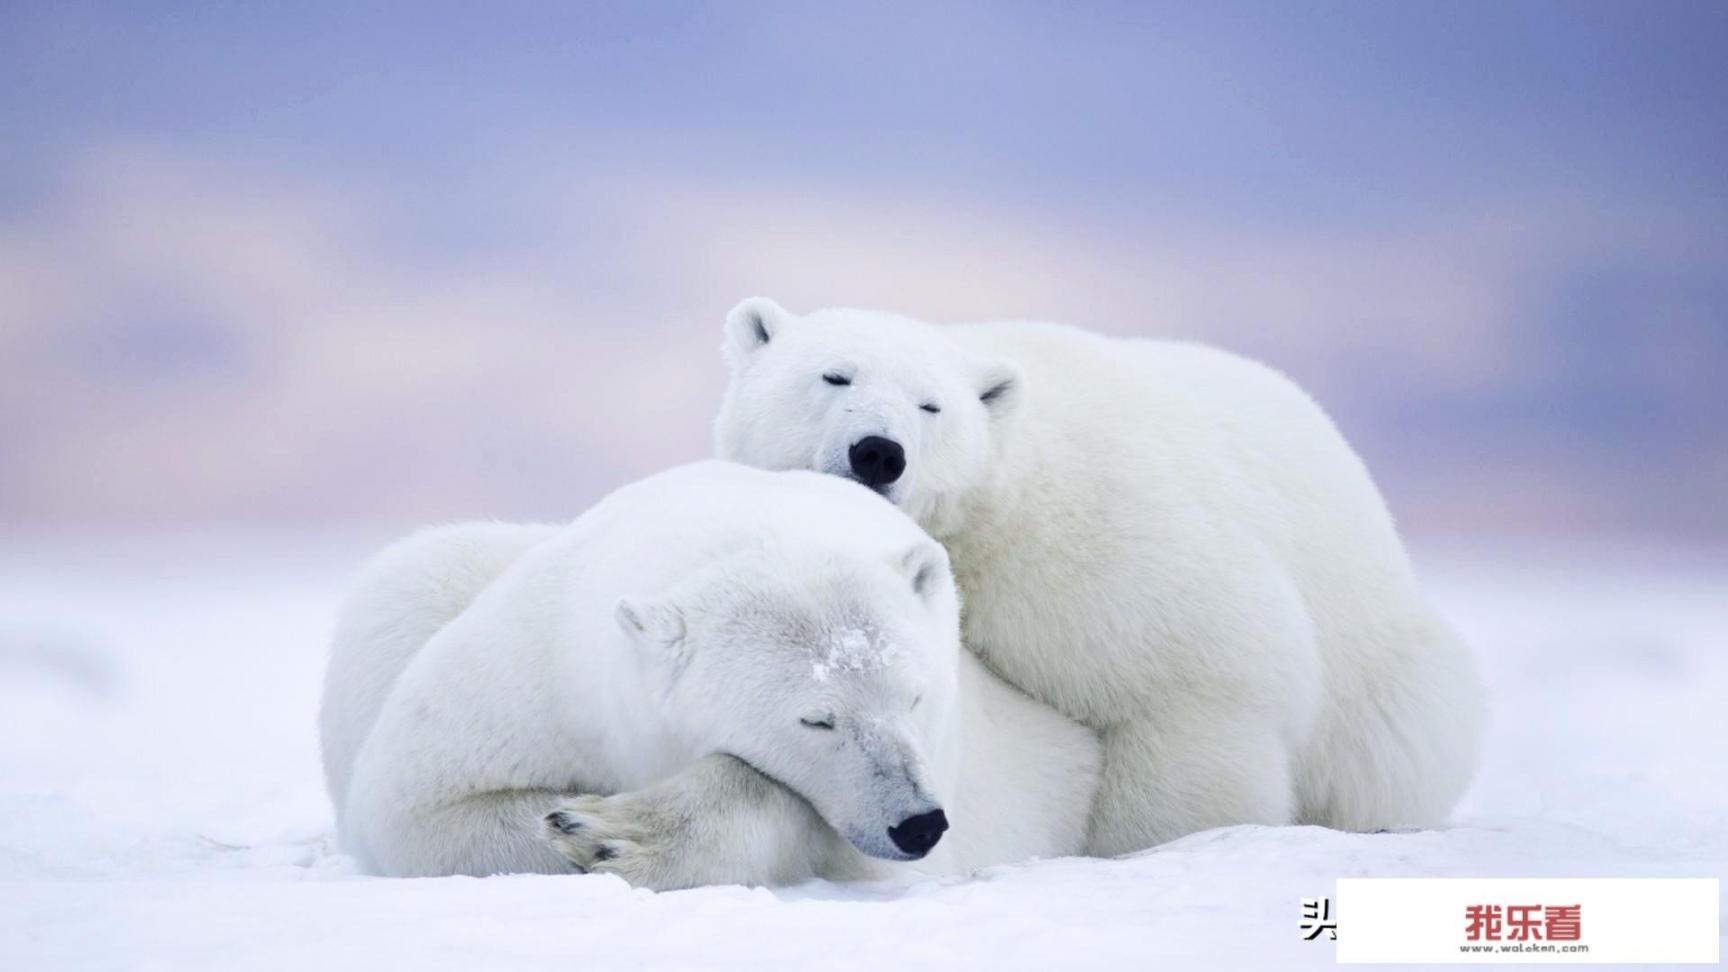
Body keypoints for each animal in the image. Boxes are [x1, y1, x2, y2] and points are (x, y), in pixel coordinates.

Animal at [319, 456, 1099, 882]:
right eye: (816, 719)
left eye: (915, 697)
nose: (918, 823)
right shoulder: (540, 672)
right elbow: (418, 807)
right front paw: (578, 824)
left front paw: (613, 832)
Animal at [715, 299, 1486, 850]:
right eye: (834, 375)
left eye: (931, 405)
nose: (878, 451)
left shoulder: (1104, 552)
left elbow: (1196, 687)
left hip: (1383, 676)